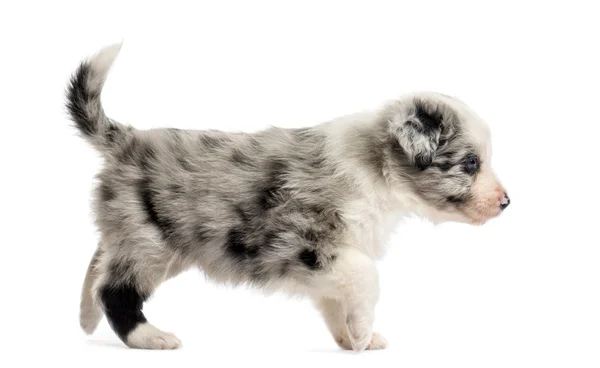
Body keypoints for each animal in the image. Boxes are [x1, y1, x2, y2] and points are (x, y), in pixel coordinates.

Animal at [69, 45, 510, 350]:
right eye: (471, 163)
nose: (507, 202)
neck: (375, 167)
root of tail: (126, 140)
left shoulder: (328, 257)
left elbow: (335, 299)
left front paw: (354, 339)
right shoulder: (303, 242)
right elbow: (366, 276)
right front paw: (362, 333)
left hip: (148, 238)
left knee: (98, 263)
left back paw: (86, 319)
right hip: (150, 242)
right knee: (114, 289)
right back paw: (151, 337)